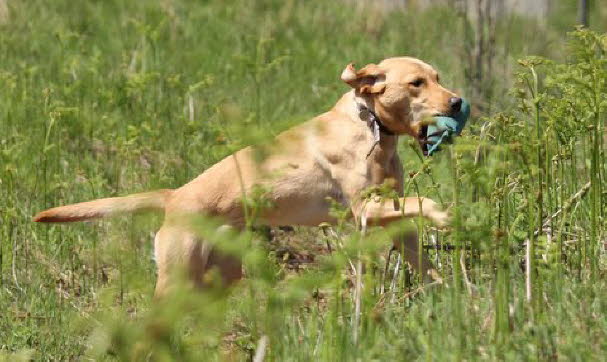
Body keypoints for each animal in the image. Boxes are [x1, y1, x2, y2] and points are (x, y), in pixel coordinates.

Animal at [34, 55, 460, 294]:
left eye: (439, 77)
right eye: (416, 83)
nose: (457, 102)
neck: (369, 124)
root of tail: (174, 197)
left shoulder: (393, 220)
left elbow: (425, 261)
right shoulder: (364, 211)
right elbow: (424, 200)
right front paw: (444, 215)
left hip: (217, 281)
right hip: (176, 279)